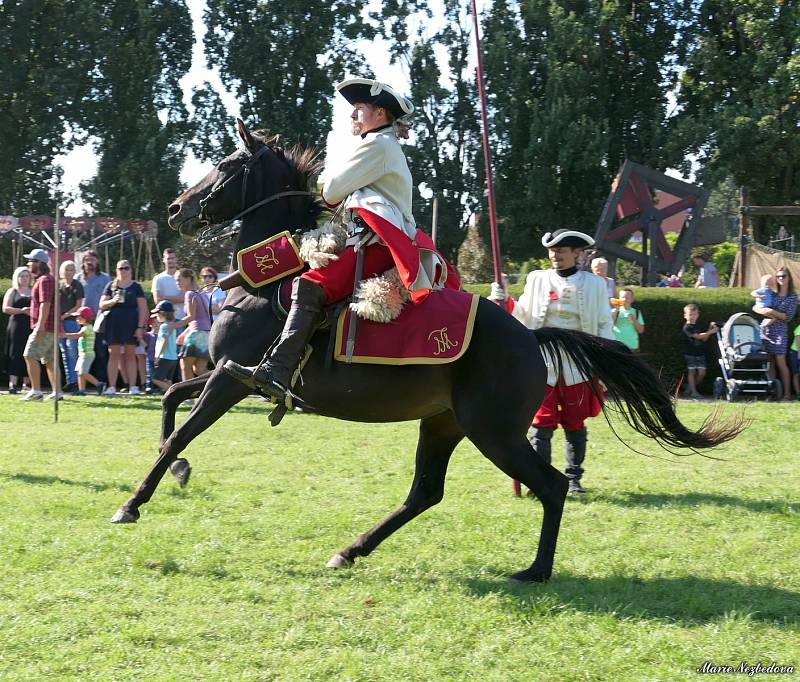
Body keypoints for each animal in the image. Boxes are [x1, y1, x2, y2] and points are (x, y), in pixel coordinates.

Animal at [112, 121, 744, 580]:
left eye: (227, 165)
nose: (176, 209)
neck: (272, 282)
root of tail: (530, 336)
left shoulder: (235, 377)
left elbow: (181, 431)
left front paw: (133, 502)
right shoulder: (227, 372)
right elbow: (170, 396)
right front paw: (178, 474)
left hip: (493, 430)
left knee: (549, 485)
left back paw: (535, 570)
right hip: (444, 423)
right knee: (426, 491)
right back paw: (352, 550)